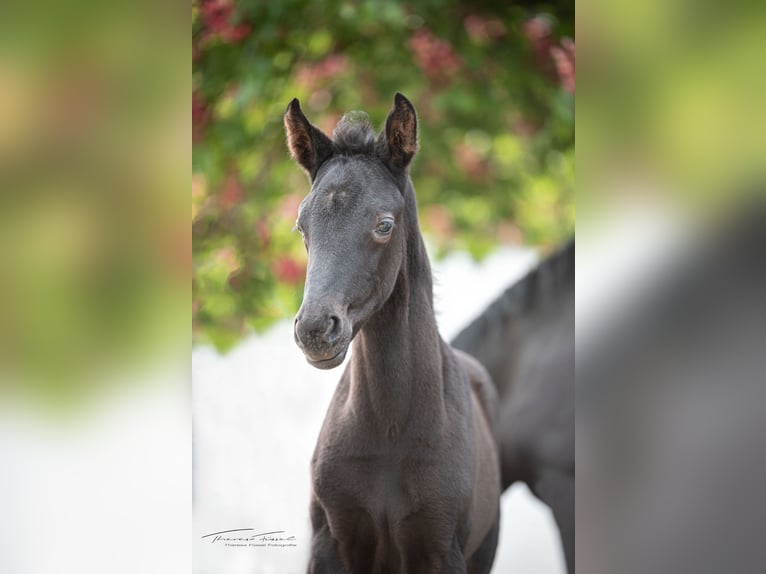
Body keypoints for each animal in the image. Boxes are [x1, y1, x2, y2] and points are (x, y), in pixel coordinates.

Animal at [284, 92, 500, 572]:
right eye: (301, 227)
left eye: (384, 224)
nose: (315, 329)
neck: (390, 431)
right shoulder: (330, 540)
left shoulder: (442, 550)